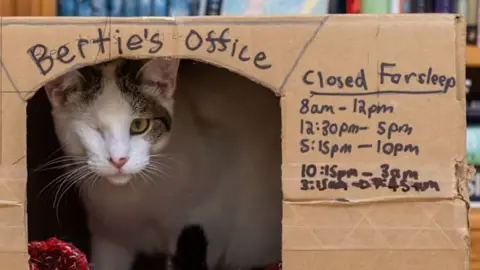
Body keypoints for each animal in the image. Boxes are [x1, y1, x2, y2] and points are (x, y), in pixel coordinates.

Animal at [44, 57, 282, 270]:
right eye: (94, 129)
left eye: (139, 125)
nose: (118, 160)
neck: (130, 199)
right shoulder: (107, 237)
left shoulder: (206, 220)